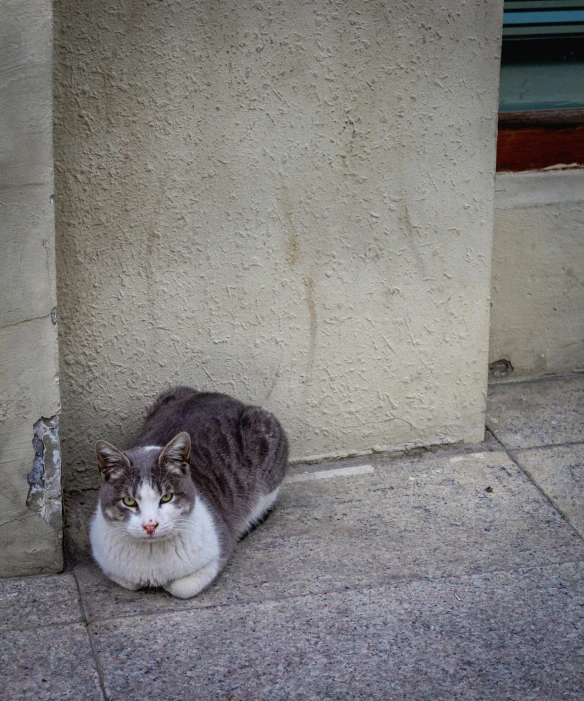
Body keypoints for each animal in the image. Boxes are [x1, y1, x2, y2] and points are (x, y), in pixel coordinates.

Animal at [88, 386, 288, 600]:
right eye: (129, 501)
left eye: (166, 497)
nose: (150, 526)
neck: (151, 558)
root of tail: (224, 397)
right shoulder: (105, 558)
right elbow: (128, 581)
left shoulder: (220, 545)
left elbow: (182, 587)